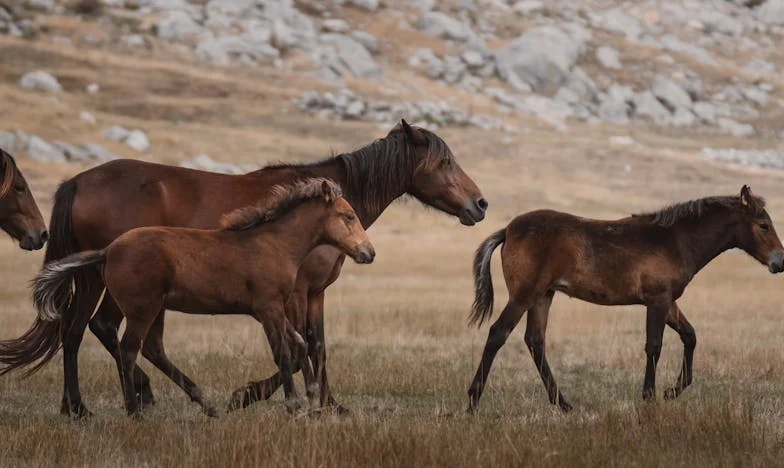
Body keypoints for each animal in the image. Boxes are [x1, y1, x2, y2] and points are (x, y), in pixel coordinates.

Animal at [30, 179, 374, 416]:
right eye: (348, 216)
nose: (368, 252)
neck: (275, 243)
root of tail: (108, 251)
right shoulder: (268, 308)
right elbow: (285, 353)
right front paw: (293, 406)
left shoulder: (272, 309)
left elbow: (301, 344)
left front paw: (312, 401)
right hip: (143, 310)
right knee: (128, 350)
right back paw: (135, 411)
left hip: (155, 309)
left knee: (150, 348)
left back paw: (204, 405)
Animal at [468, 186, 780, 414]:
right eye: (763, 225)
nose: (781, 261)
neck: (676, 240)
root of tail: (508, 230)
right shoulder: (657, 300)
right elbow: (654, 346)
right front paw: (649, 396)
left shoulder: (669, 302)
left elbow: (690, 336)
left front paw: (672, 391)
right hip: (524, 295)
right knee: (498, 334)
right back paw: (472, 401)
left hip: (544, 295)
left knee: (535, 341)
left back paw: (564, 404)